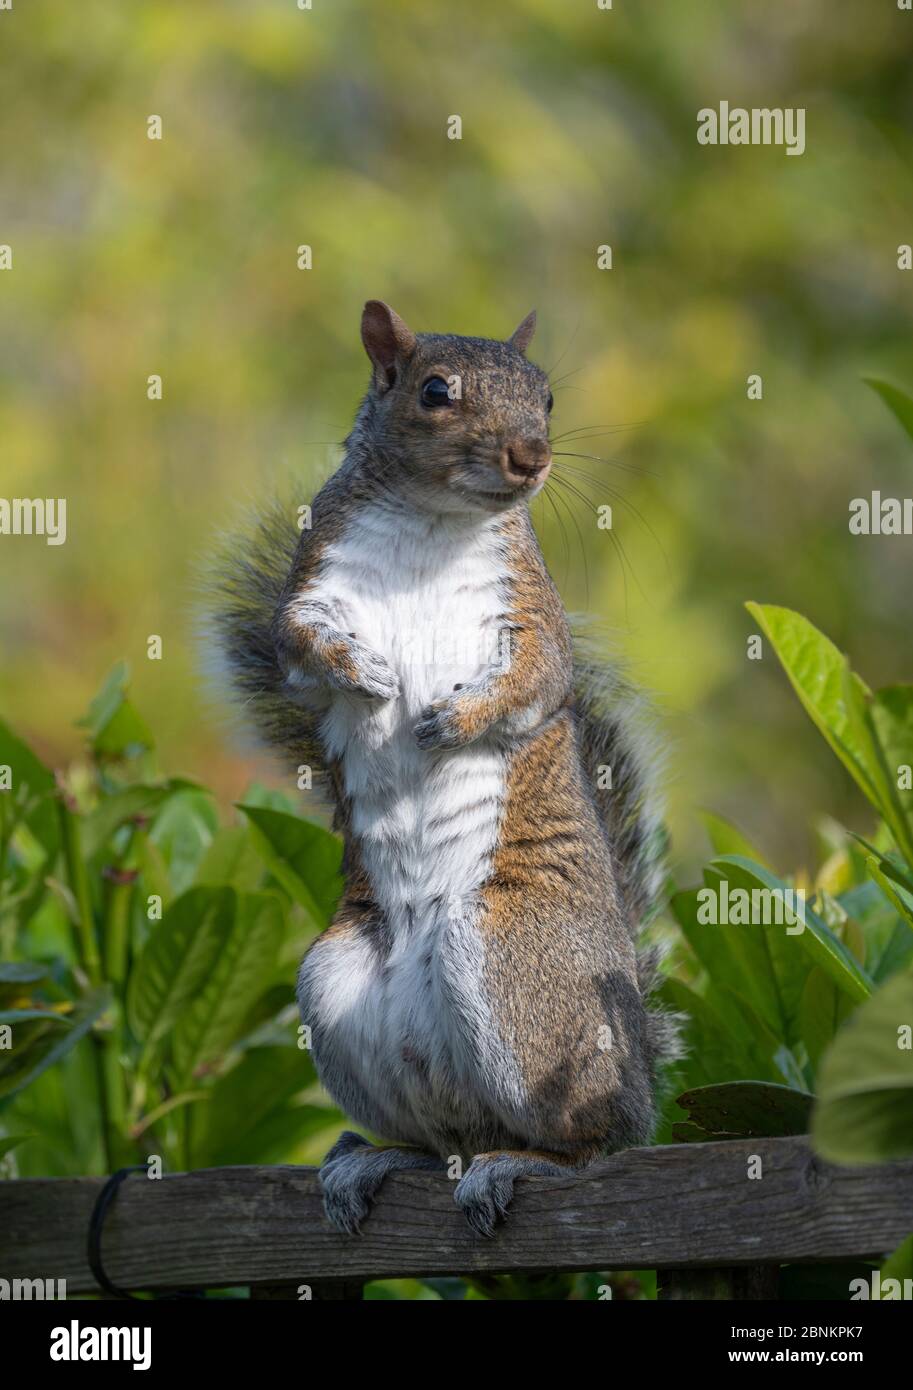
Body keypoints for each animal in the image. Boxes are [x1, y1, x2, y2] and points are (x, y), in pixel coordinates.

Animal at [211, 304, 675, 1239]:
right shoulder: (309, 591)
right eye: (434, 393)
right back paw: (380, 1159)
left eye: (546, 396)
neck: (434, 521)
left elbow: (536, 681)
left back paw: (518, 1164)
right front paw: (364, 674)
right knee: (444, 1135)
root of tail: (638, 1076)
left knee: (586, 1145)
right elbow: (300, 647)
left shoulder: (532, 614)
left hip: (510, 962)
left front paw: (449, 720)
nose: (532, 455)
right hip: (337, 982)